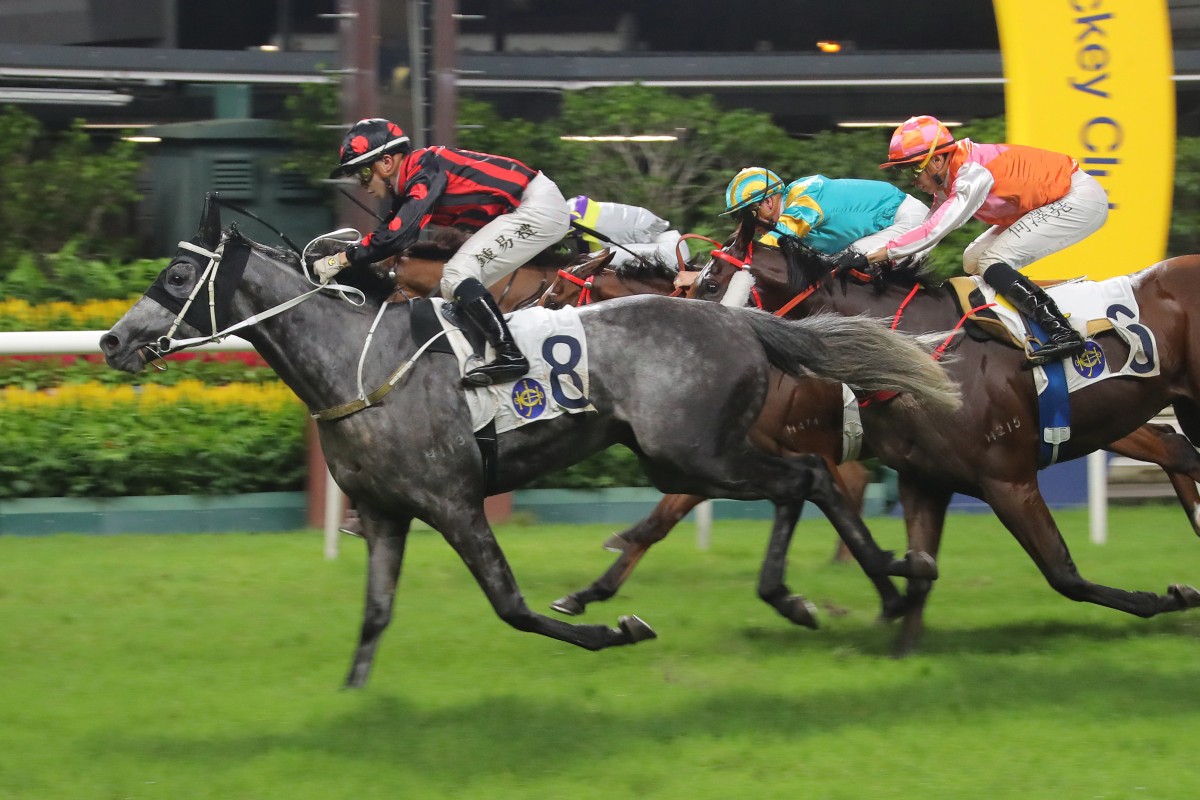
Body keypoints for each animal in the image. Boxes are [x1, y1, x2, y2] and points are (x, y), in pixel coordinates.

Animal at [98, 195, 960, 690]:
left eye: (178, 279)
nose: (112, 341)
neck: (356, 362)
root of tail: (740, 318)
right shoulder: (384, 512)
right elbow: (374, 616)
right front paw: (352, 696)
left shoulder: (452, 502)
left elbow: (510, 605)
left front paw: (615, 629)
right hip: (688, 452)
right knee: (803, 481)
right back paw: (860, 588)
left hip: (694, 451)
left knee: (806, 477)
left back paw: (872, 583)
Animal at [686, 215, 1200, 652]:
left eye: (710, 283)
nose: (693, 340)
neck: (924, 352)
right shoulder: (923, 481)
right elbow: (919, 574)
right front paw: (899, 638)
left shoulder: (1008, 480)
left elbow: (1063, 574)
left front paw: (1168, 597)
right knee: (1176, 448)